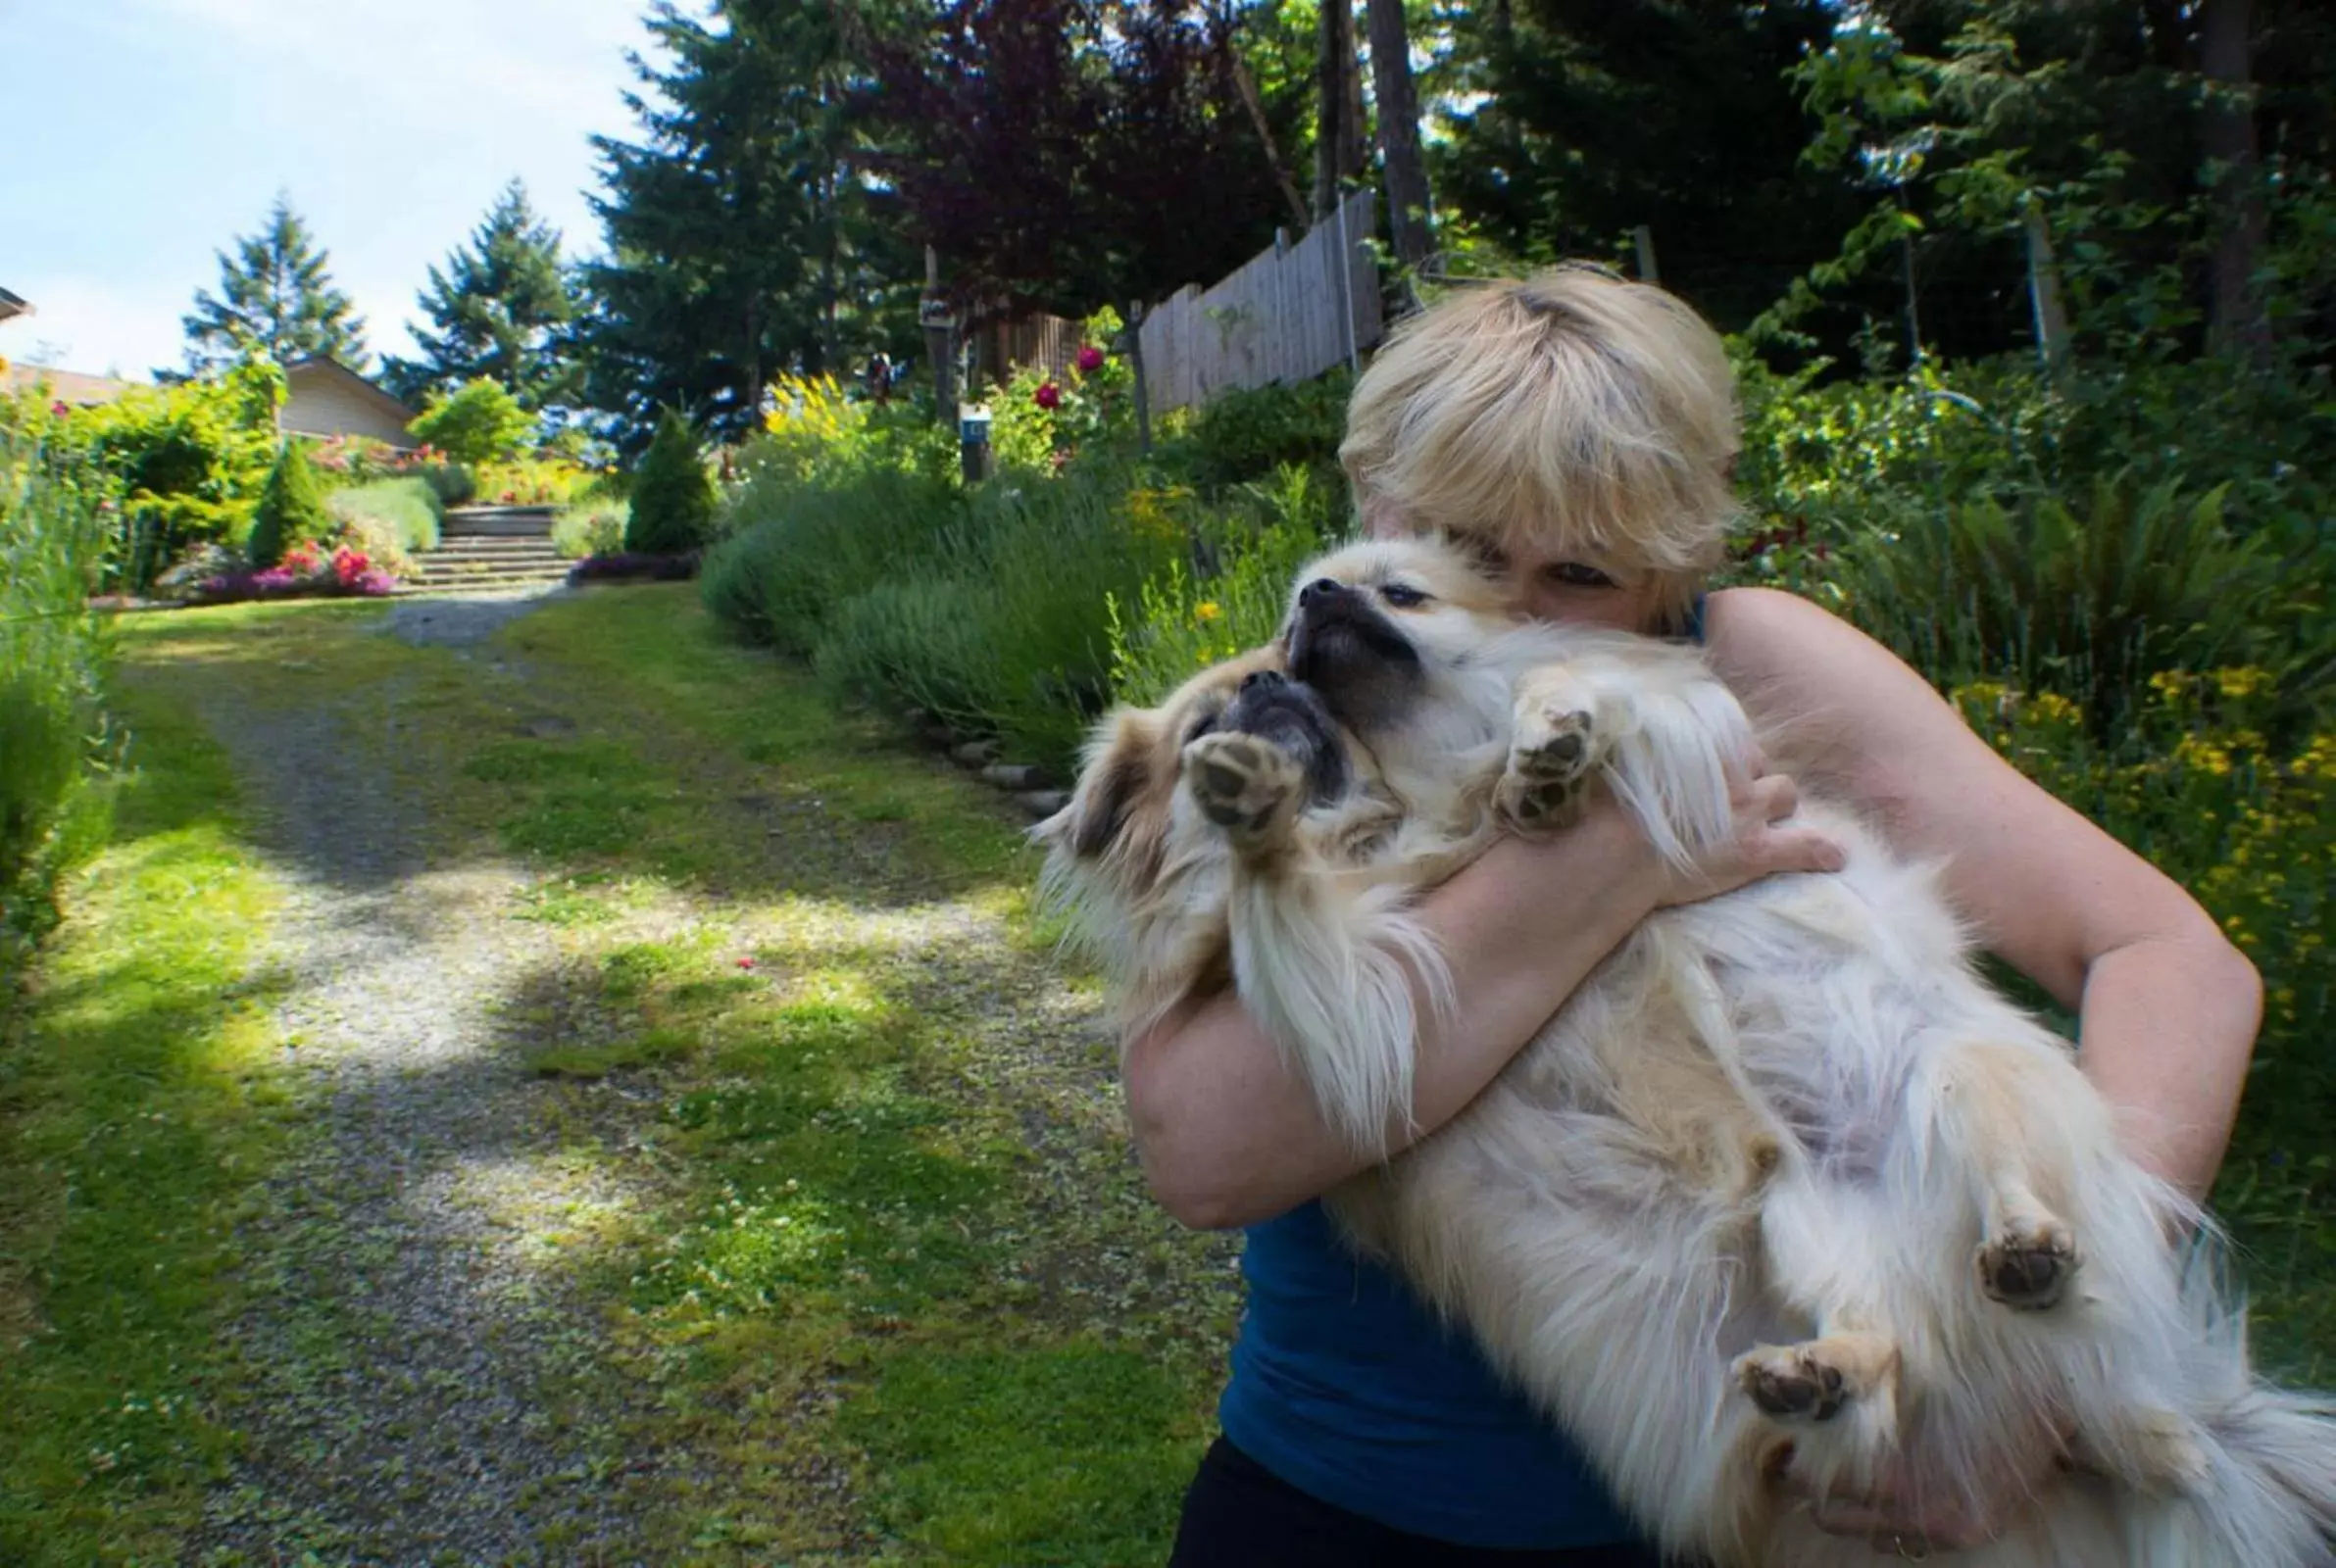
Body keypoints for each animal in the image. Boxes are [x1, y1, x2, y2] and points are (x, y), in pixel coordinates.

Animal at [1041, 532, 2336, 1560]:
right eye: (1230, 688)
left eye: (1395, 594)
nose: (1303, 612)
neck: (1408, 802)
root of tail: (2137, 1422)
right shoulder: (1369, 999)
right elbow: (1282, 897)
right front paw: (1254, 815)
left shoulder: (1667, 730)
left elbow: (1573, 680)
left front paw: (1548, 739)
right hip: (1796, 1220)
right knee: (1886, 1362)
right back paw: (1823, 1373)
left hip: (1960, 1081)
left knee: (2028, 1218)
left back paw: (2028, 1249)